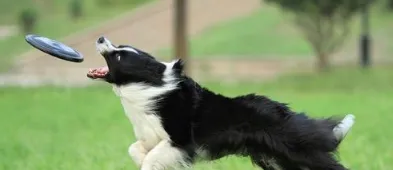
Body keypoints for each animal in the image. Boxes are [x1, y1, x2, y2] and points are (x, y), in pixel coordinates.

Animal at [88, 36, 356, 170]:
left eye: (119, 55)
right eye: (119, 48)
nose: (100, 37)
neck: (147, 89)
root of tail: (281, 110)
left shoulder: (180, 141)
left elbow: (153, 157)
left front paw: (147, 165)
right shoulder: (150, 136)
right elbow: (135, 149)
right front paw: (140, 158)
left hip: (295, 150)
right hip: (275, 159)